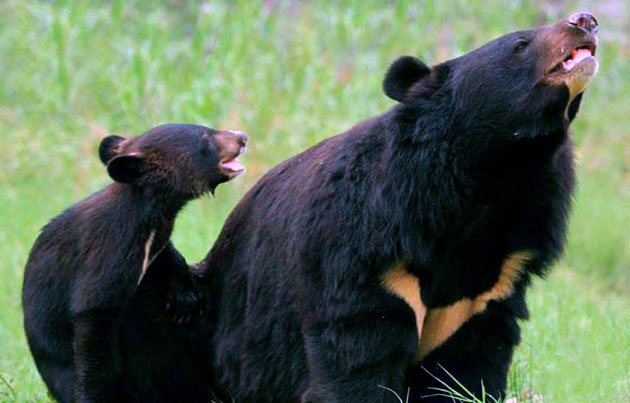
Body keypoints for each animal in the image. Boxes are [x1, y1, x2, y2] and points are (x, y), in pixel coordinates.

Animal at [20, 124, 247, 402]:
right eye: (205, 138)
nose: (242, 137)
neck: (149, 213)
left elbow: (167, 256)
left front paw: (185, 297)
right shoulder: (111, 250)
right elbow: (93, 312)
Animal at [199, 11, 604, 402]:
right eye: (521, 44)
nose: (586, 20)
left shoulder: (488, 283)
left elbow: (467, 367)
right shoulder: (362, 255)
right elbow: (357, 360)